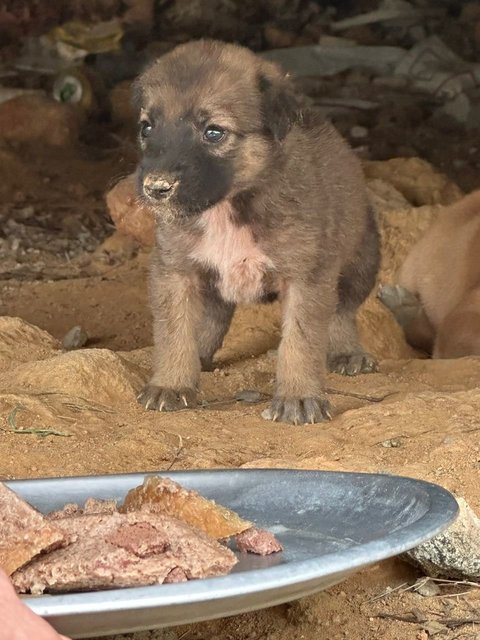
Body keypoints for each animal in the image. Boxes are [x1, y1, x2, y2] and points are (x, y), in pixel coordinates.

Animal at [132, 37, 378, 422]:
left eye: (214, 132)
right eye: (146, 128)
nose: (156, 188)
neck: (228, 209)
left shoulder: (307, 276)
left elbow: (301, 340)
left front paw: (298, 396)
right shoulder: (175, 270)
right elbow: (175, 331)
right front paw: (172, 383)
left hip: (361, 259)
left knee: (343, 311)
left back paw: (347, 351)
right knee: (213, 319)